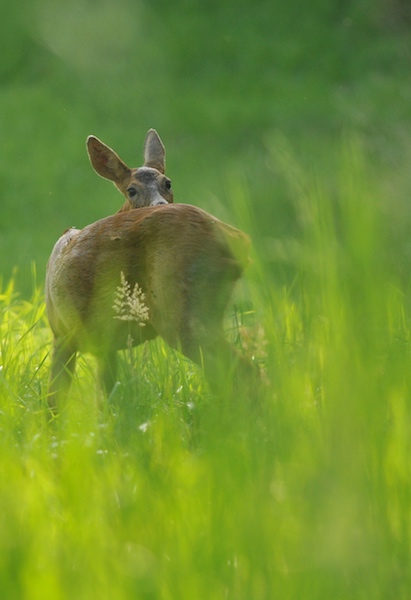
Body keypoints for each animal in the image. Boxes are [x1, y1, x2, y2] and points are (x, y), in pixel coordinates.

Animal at [45, 126, 254, 408]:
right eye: (131, 190)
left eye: (168, 183)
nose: (160, 204)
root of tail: (236, 239)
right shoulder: (104, 343)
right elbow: (106, 396)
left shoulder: (61, 333)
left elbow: (54, 402)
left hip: (181, 310)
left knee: (244, 372)